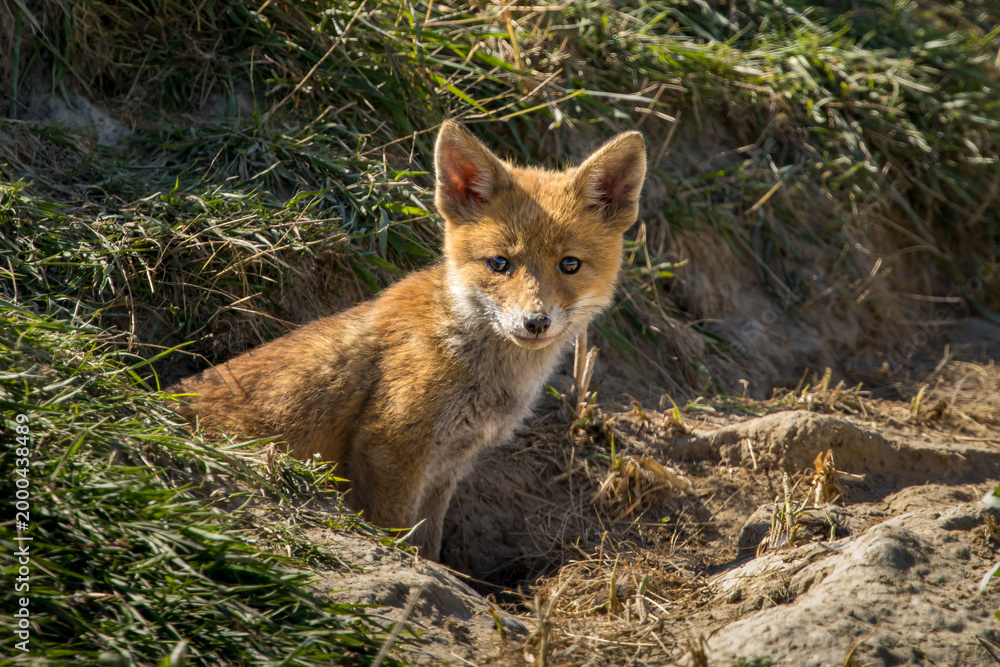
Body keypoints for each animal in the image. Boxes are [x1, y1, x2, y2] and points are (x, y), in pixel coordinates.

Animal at [170, 121, 646, 560]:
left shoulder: (446, 466)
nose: (535, 322)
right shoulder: (390, 447)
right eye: (499, 263)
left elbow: (429, 545)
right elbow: (396, 536)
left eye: (569, 264)